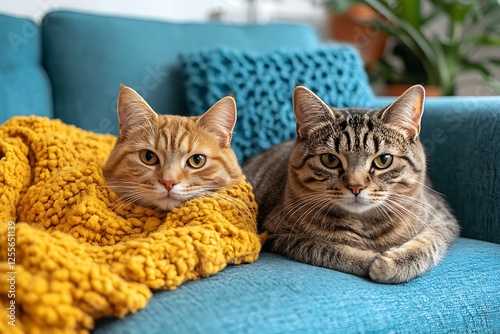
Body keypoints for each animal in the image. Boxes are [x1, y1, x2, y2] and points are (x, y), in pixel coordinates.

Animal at [244, 85, 458, 284]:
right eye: (330, 160)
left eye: (384, 160)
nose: (356, 186)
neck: (364, 223)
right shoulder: (279, 233)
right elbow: (328, 248)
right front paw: (370, 259)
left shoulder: (443, 219)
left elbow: (426, 243)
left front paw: (393, 264)